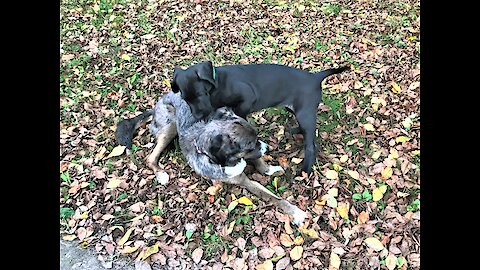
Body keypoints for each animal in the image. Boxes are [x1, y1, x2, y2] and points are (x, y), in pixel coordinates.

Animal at [115, 92, 308, 225]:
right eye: (250, 145)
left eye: (256, 139)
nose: (268, 148)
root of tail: (157, 104)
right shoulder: (243, 180)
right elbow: (273, 197)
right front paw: (296, 212)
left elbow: (259, 162)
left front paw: (270, 169)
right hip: (170, 126)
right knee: (151, 158)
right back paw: (161, 174)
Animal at [171, 60, 346, 175]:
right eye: (185, 98)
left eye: (201, 94)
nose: (197, 116)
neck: (218, 83)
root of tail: (315, 77)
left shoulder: (248, 97)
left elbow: (239, 112)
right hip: (297, 110)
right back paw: (295, 131)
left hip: (305, 113)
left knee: (311, 145)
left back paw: (305, 170)